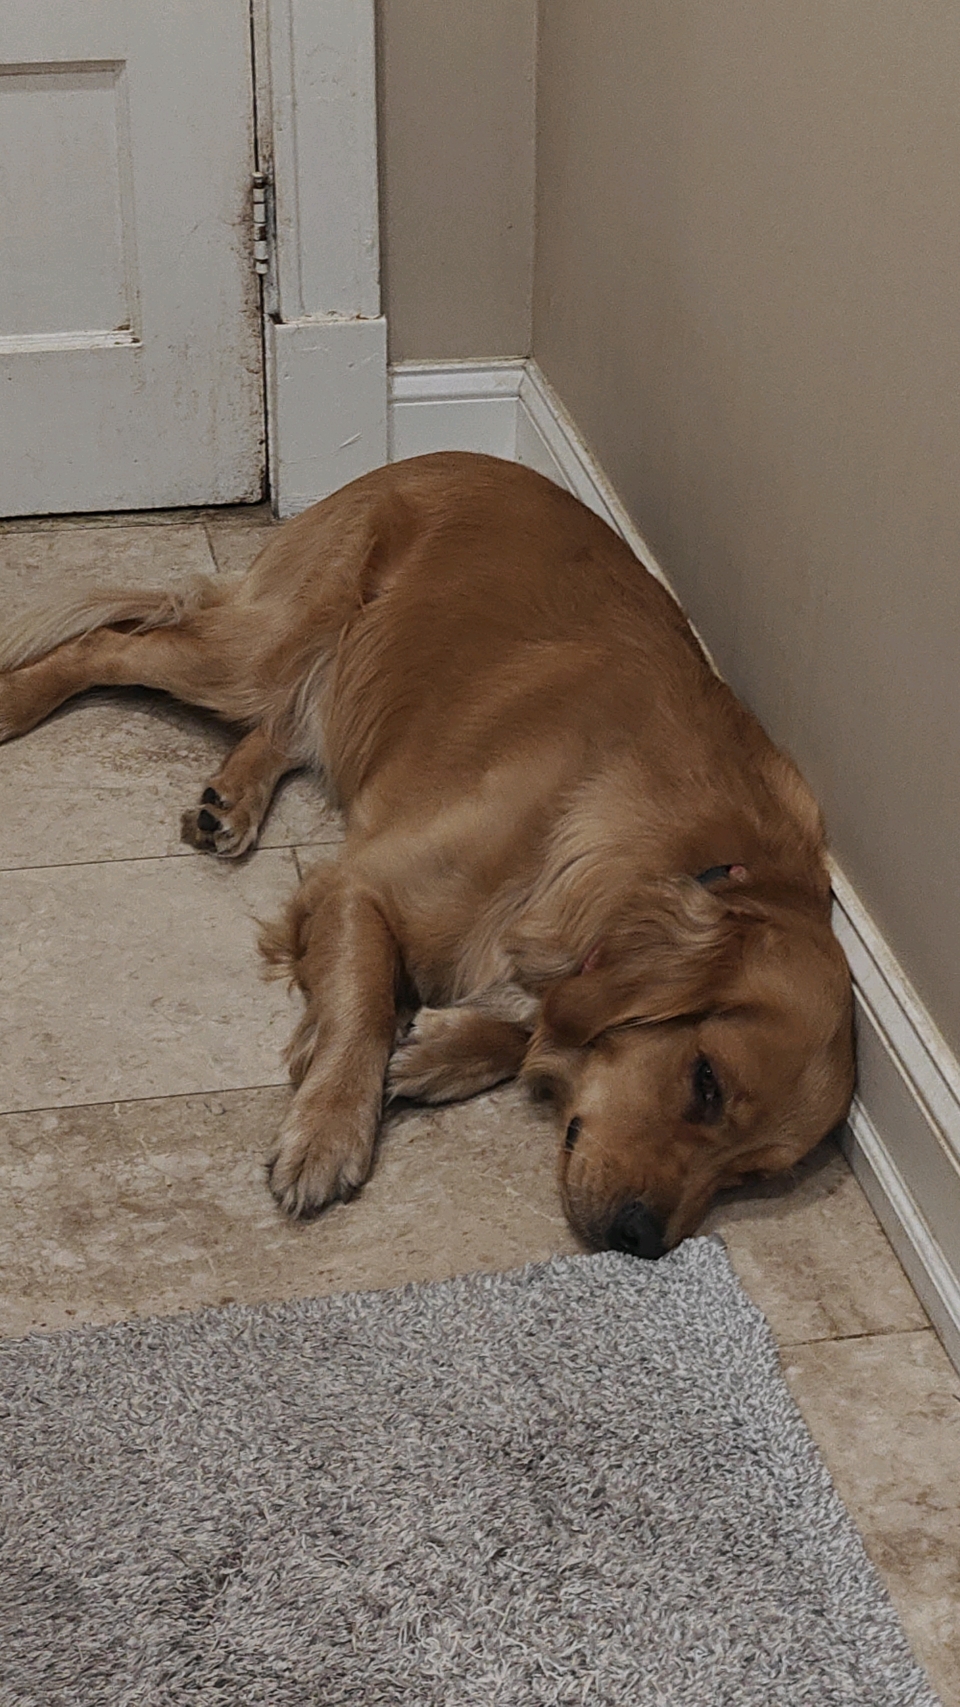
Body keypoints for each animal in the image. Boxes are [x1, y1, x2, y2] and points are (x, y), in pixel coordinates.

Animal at [0, 454, 850, 1256]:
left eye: (751, 1173)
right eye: (706, 1082)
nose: (638, 1240)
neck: (669, 854)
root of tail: (424, 457)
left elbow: (530, 1020)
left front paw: (435, 1050)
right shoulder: (362, 884)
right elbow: (366, 997)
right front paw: (330, 1125)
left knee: (287, 722)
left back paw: (230, 800)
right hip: (255, 652)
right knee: (116, 646)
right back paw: (16, 702)